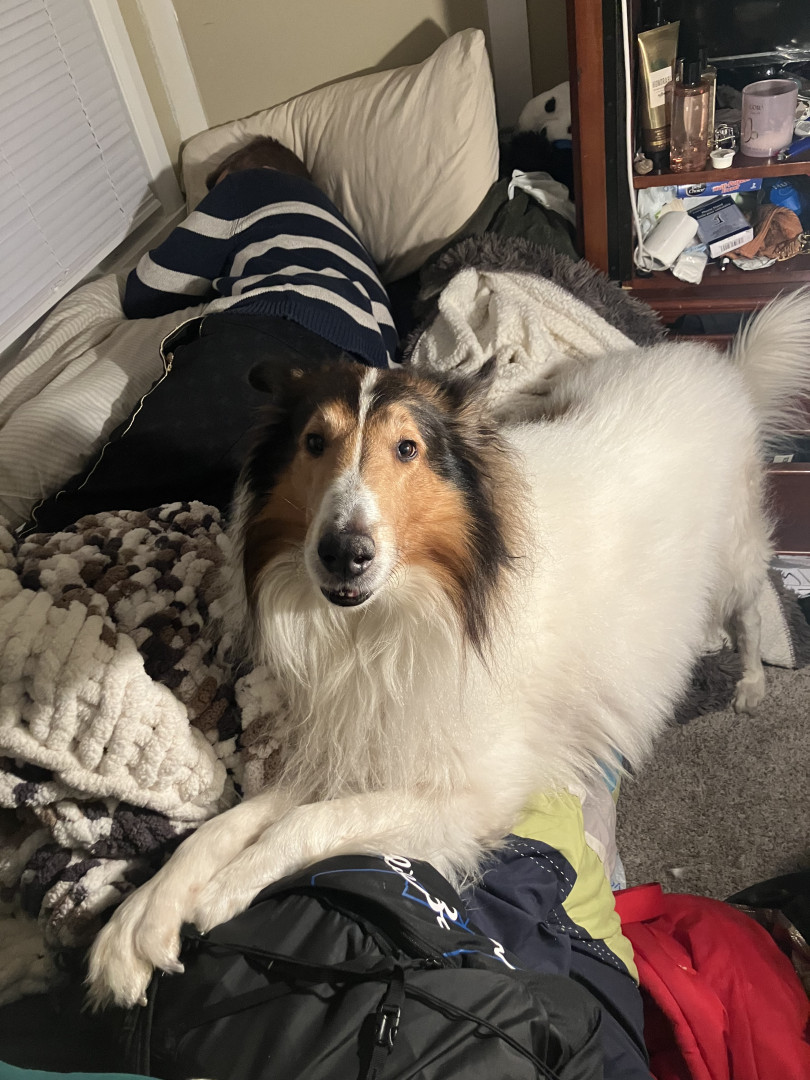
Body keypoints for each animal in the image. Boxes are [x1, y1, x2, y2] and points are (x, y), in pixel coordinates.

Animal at [87, 291, 810, 1008]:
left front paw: (222, 893)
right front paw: (138, 922)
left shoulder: (469, 794)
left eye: (407, 448)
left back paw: (749, 681)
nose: (343, 554)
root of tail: (717, 366)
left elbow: (307, 823)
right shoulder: (361, 738)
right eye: (314, 443)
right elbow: (230, 824)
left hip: (737, 547)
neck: (397, 616)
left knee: (754, 606)